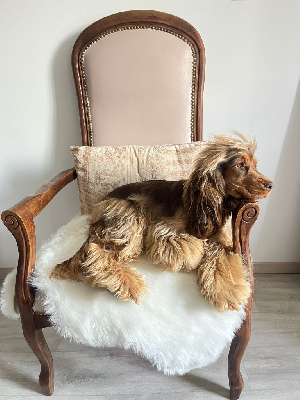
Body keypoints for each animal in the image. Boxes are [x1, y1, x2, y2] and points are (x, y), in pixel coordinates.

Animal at [50, 134, 274, 312]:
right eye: (241, 165)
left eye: (255, 165)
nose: (270, 185)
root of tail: (97, 210)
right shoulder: (164, 229)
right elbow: (189, 245)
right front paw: (196, 253)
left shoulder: (223, 241)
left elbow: (223, 255)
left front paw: (227, 290)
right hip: (132, 213)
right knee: (96, 253)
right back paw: (128, 283)